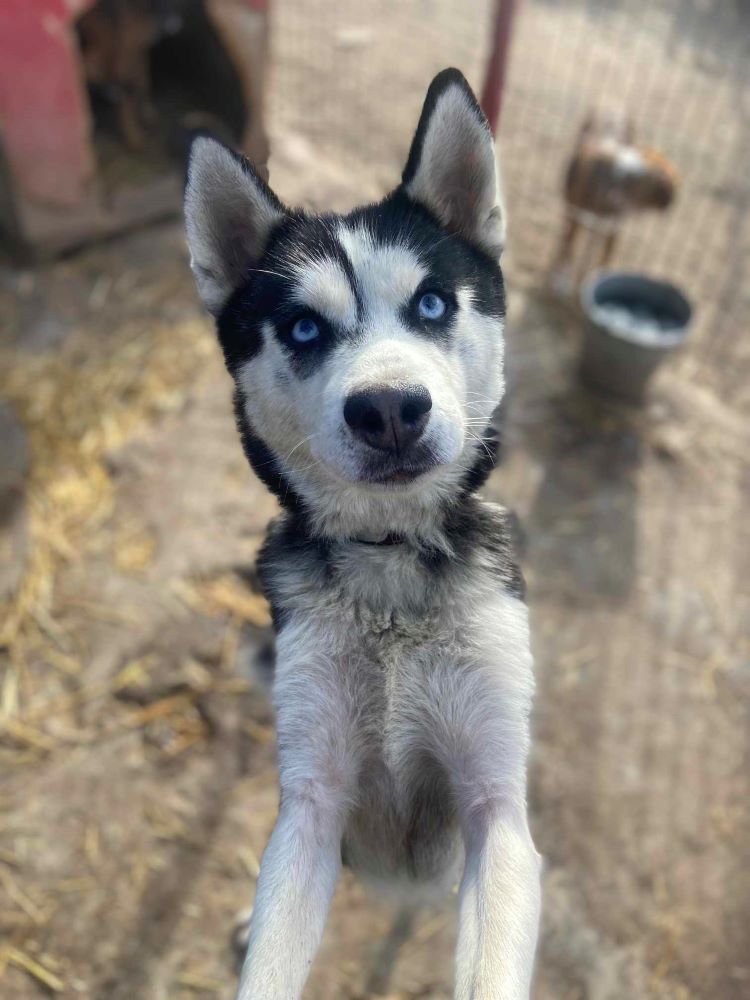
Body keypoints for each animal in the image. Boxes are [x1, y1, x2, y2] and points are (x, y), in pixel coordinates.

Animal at [186, 66, 544, 996]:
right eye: (304, 327)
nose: (388, 409)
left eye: (432, 302)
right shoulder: (312, 802)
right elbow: (273, 955)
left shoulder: (495, 808)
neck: (389, 579)